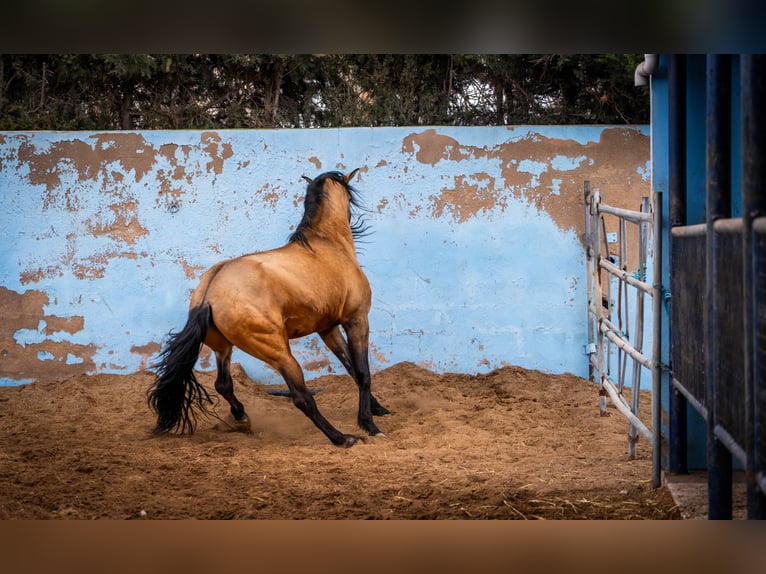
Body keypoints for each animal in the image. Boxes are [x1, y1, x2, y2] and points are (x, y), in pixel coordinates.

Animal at [147, 171, 390, 450]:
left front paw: (378, 409)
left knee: (223, 384)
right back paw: (342, 438)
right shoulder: (356, 319)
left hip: (223, 347)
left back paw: (242, 417)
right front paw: (370, 425)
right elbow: (362, 372)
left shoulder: (327, 329)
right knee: (301, 398)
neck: (327, 245)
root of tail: (208, 294)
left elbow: (350, 368)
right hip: (278, 352)